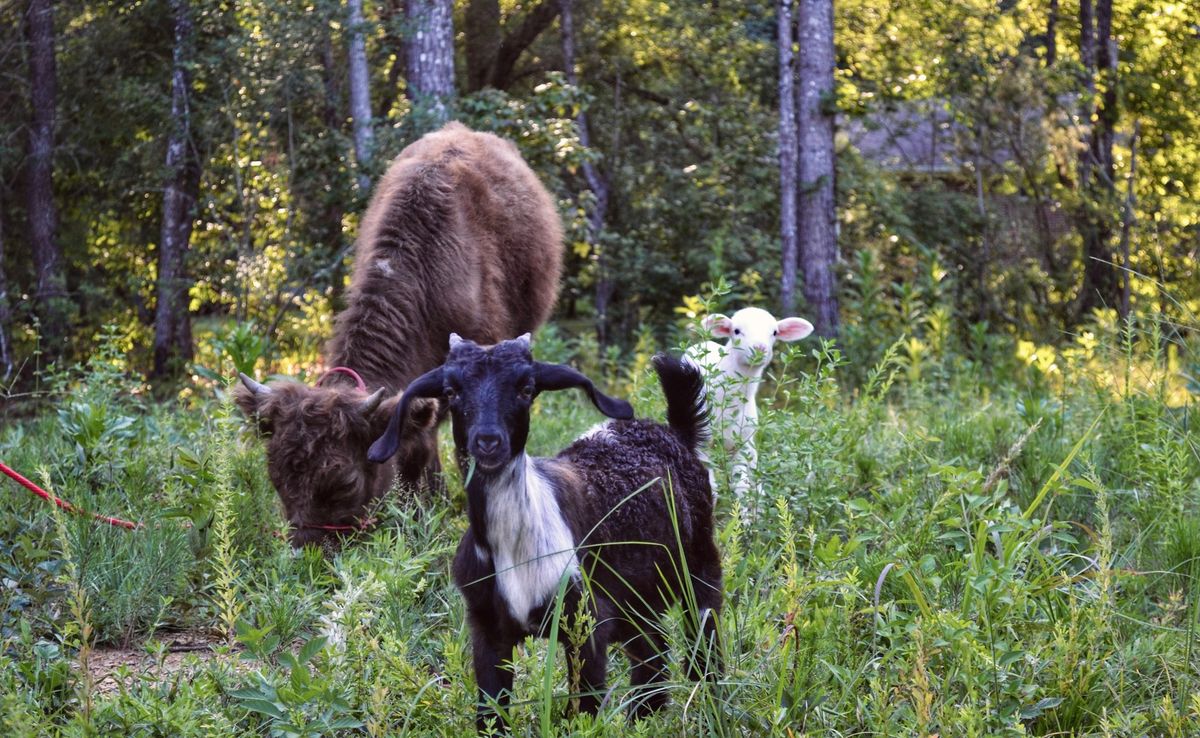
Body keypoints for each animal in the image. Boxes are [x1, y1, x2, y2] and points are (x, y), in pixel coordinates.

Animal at [364, 336, 720, 734]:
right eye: (451, 391)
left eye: (526, 388)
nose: (488, 442)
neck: (515, 543)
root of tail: (674, 434)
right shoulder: (487, 626)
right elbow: (491, 713)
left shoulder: (585, 623)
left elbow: (582, 711)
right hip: (636, 599)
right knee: (652, 652)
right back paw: (643, 719)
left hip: (698, 563)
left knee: (703, 645)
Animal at [686, 306, 816, 501]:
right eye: (736, 330)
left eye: (774, 332)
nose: (759, 348)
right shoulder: (703, 445)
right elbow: (710, 488)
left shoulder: (743, 443)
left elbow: (742, 488)